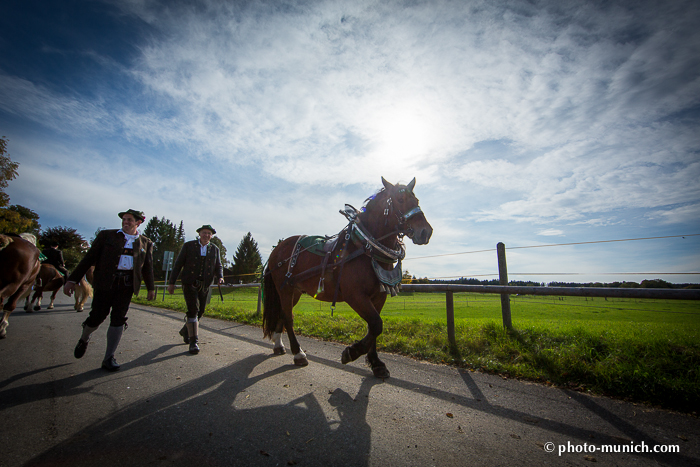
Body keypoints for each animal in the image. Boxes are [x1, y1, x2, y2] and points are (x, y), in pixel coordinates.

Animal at [262, 177, 432, 378]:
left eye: (417, 200)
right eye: (400, 200)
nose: (426, 231)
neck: (365, 248)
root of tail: (276, 250)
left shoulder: (378, 296)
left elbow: (373, 328)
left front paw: (376, 363)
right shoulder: (355, 296)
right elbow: (376, 324)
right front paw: (352, 352)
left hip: (294, 291)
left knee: (282, 313)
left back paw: (278, 344)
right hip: (285, 289)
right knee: (289, 318)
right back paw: (298, 353)